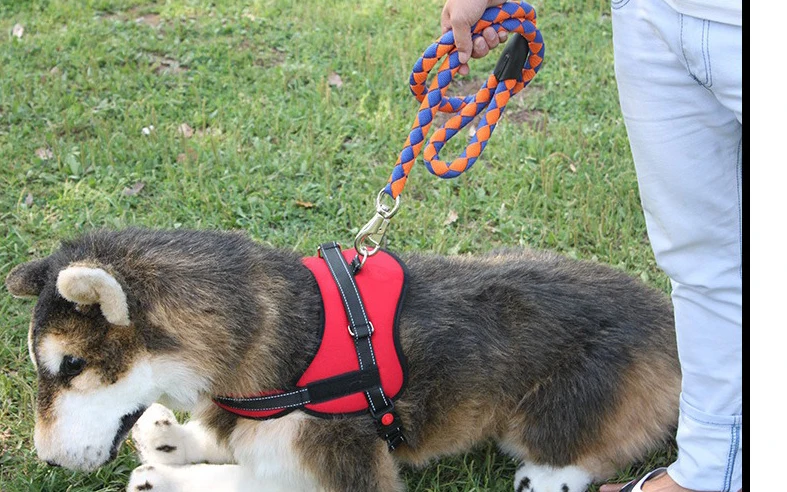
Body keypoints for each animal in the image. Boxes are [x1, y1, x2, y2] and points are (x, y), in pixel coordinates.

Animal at [6, 229, 680, 490]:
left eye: (70, 365)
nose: (47, 460)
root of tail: (674, 327)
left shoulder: (345, 469)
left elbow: (247, 481)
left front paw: (167, 476)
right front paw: (174, 440)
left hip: (548, 416)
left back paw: (548, 477)